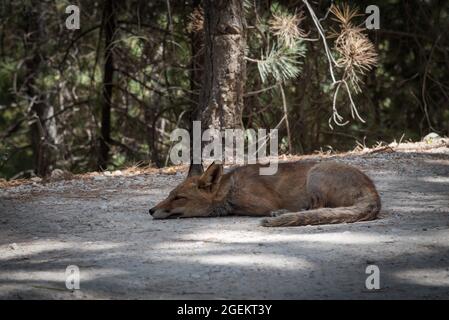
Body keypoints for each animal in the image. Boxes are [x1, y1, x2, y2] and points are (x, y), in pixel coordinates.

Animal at [149, 161, 380, 226]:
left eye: (179, 198)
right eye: (169, 195)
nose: (150, 210)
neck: (230, 189)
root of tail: (373, 190)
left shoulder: (262, 203)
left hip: (315, 175)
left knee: (318, 207)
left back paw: (283, 213)